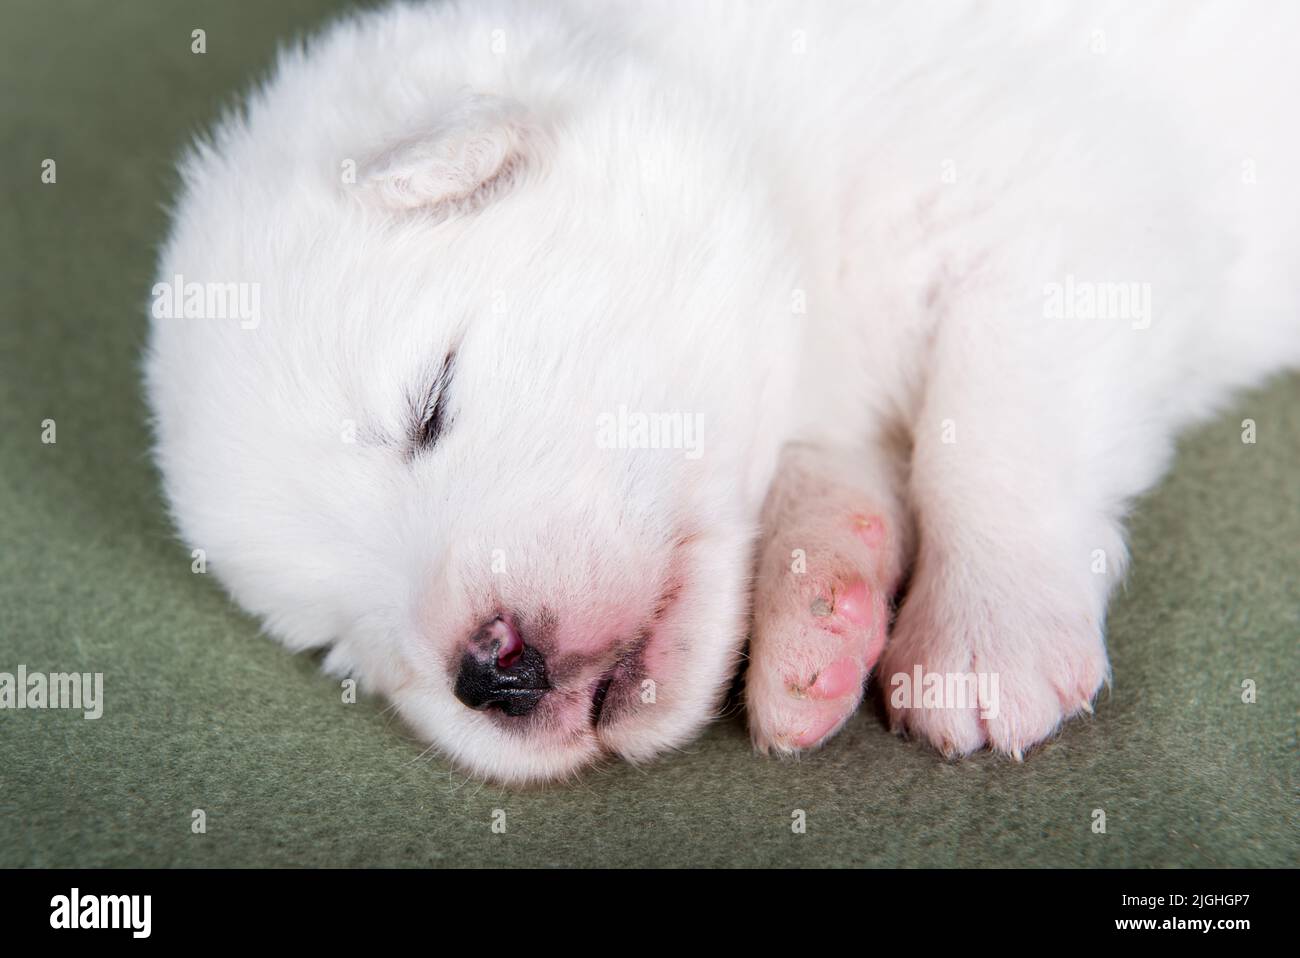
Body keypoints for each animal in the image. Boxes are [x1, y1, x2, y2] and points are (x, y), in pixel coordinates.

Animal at [142, 1, 1300, 785]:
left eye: (431, 402)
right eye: (344, 646)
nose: (489, 675)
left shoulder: (1054, 195)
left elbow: (988, 424)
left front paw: (984, 636)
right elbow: (833, 473)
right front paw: (816, 617)